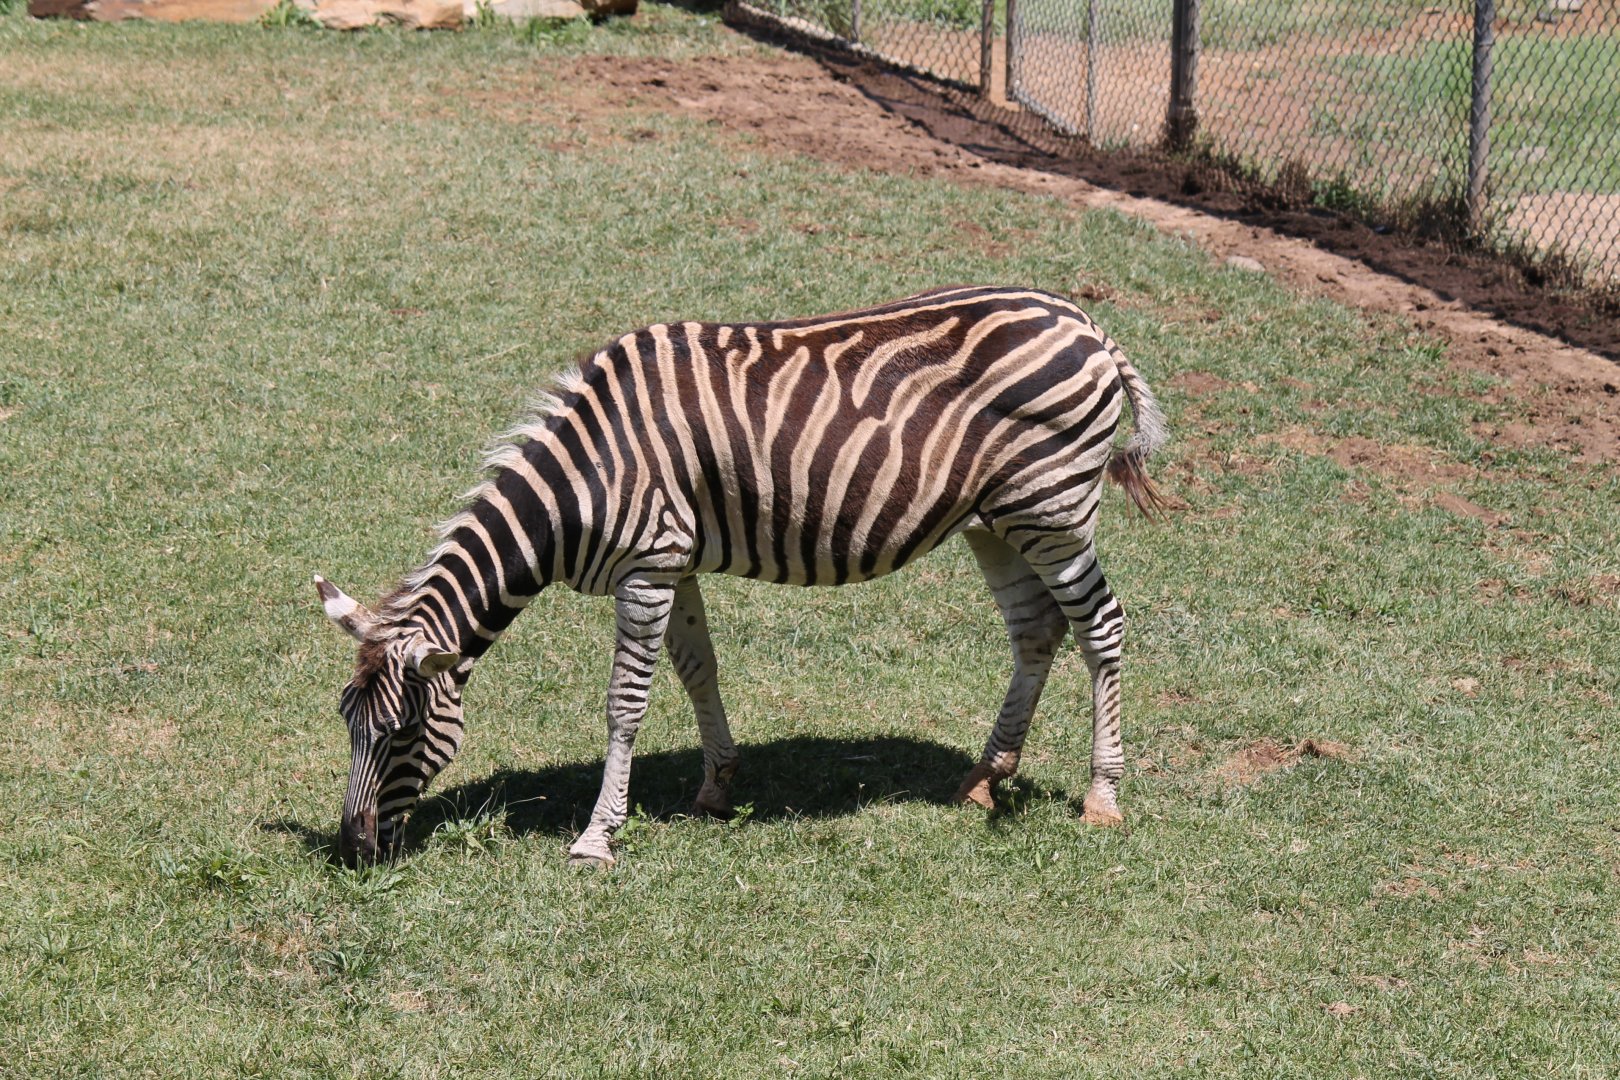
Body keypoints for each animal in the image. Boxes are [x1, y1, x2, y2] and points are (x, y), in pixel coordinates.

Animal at [314, 285, 1168, 868]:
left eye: (401, 733)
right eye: (346, 723)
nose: (352, 851)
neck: (582, 480)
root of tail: (1085, 322)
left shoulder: (648, 566)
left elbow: (625, 703)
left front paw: (597, 835)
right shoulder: (674, 560)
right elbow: (698, 669)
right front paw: (717, 786)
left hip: (1053, 509)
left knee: (1101, 625)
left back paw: (1102, 797)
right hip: (998, 522)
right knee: (1037, 630)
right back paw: (985, 778)